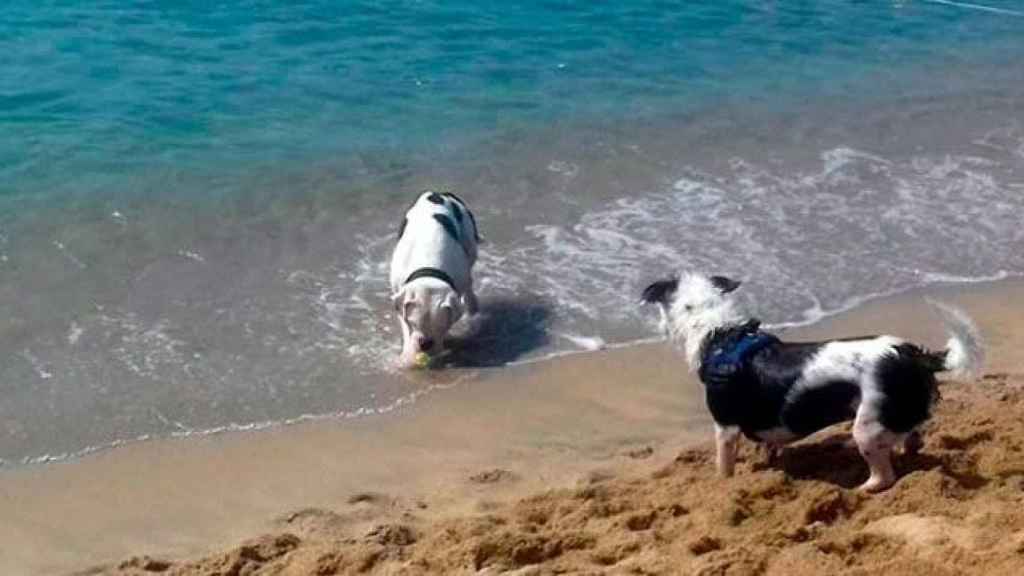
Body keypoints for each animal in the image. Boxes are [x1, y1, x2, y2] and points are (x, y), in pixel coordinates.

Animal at [389, 189, 481, 366]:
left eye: (441, 327)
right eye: (413, 323)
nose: (426, 344)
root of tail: (439, 193)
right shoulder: (399, 294)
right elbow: (404, 324)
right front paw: (407, 354)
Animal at [638, 272, 983, 487]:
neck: (719, 334)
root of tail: (913, 355)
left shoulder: (725, 428)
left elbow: (724, 467)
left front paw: (721, 487)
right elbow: (770, 448)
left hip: (866, 428)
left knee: (884, 477)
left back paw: (863, 488)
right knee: (912, 441)